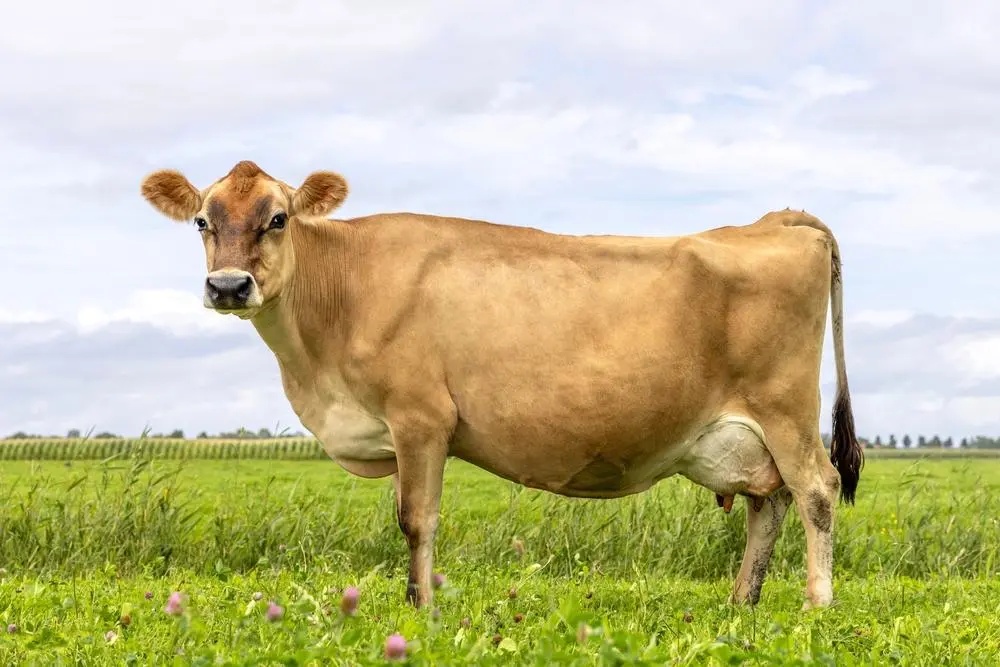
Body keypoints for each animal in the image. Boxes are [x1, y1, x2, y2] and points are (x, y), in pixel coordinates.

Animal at [139, 160, 863, 611]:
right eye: (202, 220)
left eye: (280, 217)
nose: (229, 286)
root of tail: (774, 220)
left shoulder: (420, 417)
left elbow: (416, 519)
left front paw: (421, 606)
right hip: (745, 433)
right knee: (768, 500)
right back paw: (742, 599)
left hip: (785, 409)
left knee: (816, 489)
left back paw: (817, 601)